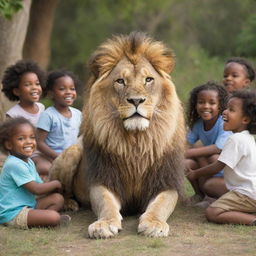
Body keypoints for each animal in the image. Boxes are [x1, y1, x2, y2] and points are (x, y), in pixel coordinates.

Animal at [50, 31, 186, 238]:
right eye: (120, 81)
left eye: (148, 80)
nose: (136, 100)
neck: (136, 143)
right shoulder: (104, 180)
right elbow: (106, 203)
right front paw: (104, 224)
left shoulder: (166, 182)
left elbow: (160, 205)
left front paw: (154, 223)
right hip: (71, 153)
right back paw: (69, 203)